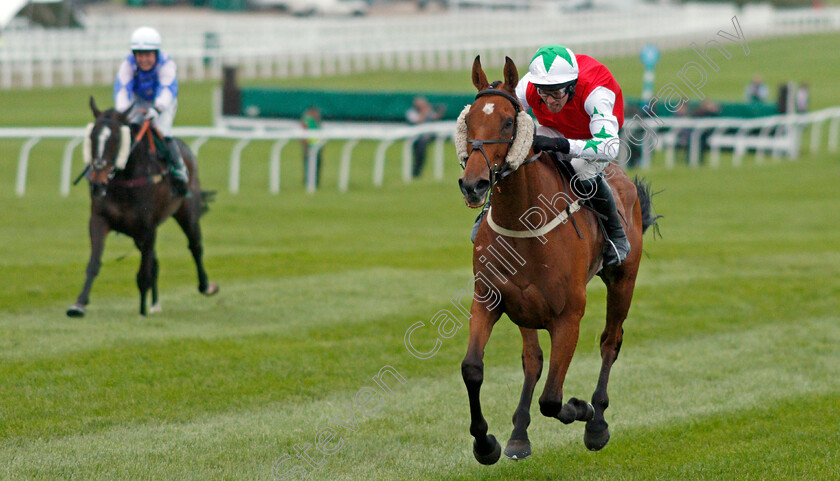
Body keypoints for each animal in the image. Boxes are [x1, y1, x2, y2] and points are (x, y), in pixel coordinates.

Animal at [67, 95, 220, 316]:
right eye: (92, 137)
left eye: (116, 139)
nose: (97, 180)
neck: (126, 179)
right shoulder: (99, 219)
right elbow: (94, 263)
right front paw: (78, 304)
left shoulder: (148, 227)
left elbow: (143, 273)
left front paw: (141, 312)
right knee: (155, 261)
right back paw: (155, 303)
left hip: (186, 211)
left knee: (195, 246)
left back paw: (206, 286)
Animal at [456, 57, 660, 464]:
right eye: (469, 120)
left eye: (508, 121)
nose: (474, 184)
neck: (522, 222)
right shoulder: (489, 300)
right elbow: (474, 369)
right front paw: (486, 443)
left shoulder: (568, 316)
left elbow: (552, 399)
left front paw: (583, 411)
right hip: (526, 309)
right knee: (532, 360)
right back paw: (519, 435)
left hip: (623, 280)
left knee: (610, 342)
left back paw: (597, 422)